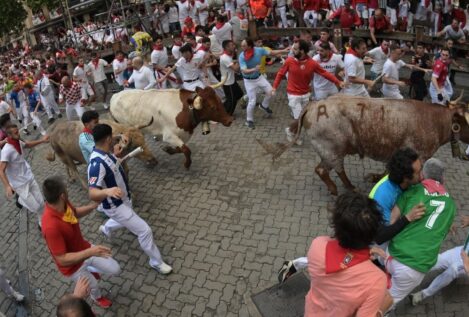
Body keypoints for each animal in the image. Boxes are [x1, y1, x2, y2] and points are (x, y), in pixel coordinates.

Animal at [258, 93, 468, 195]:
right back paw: (344, 189)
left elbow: (387, 170)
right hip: (332, 150)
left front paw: (375, 177)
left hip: (330, 151)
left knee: (328, 169)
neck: (434, 120)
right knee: (326, 170)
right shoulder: (419, 155)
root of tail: (314, 105)